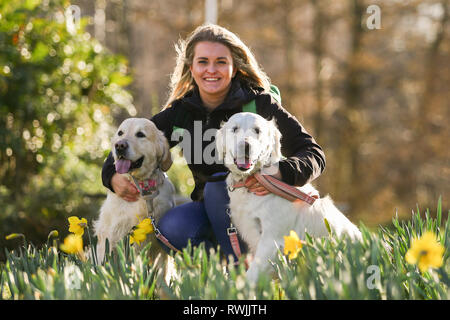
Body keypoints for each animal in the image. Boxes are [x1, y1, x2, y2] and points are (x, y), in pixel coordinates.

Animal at [93, 117, 176, 264]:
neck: (142, 187)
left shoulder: (159, 245)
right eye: (120, 133)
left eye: (140, 134)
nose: (119, 146)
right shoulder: (113, 235)